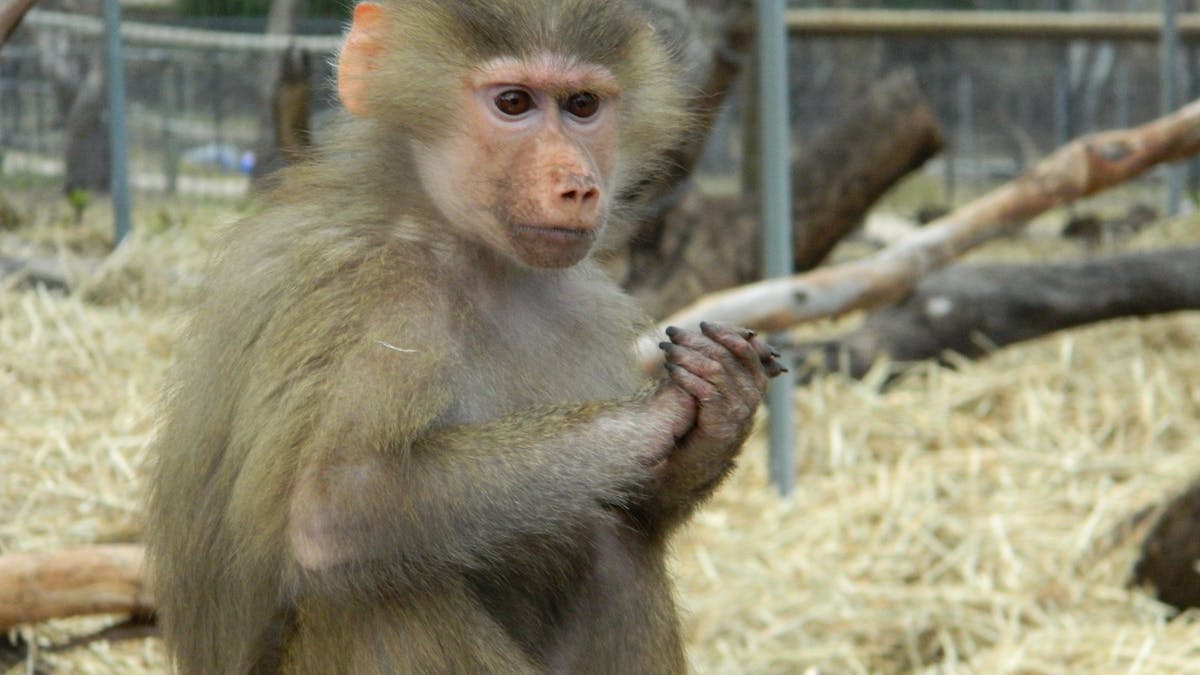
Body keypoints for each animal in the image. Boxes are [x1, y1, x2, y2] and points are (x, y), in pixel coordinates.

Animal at [145, 1, 786, 673]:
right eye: (513, 102)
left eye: (582, 105)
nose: (578, 186)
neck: (458, 240)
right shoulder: (387, 291)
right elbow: (332, 503)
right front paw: (655, 412)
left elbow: (635, 513)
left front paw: (722, 407)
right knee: (371, 590)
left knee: (616, 548)